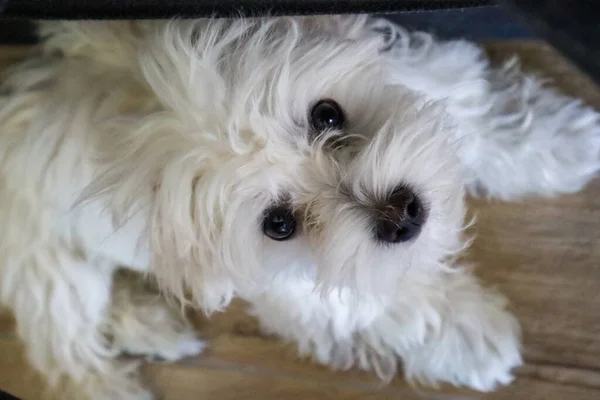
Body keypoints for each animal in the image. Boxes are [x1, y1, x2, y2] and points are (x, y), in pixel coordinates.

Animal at [1, 14, 600, 398]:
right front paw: (472, 334)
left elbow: (480, 115)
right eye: (279, 224)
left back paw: (152, 327)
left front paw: (562, 143)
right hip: (49, 263)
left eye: (327, 115)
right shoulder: (296, 284)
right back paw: (108, 384)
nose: (401, 213)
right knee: (61, 343)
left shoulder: (425, 77)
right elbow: (385, 302)